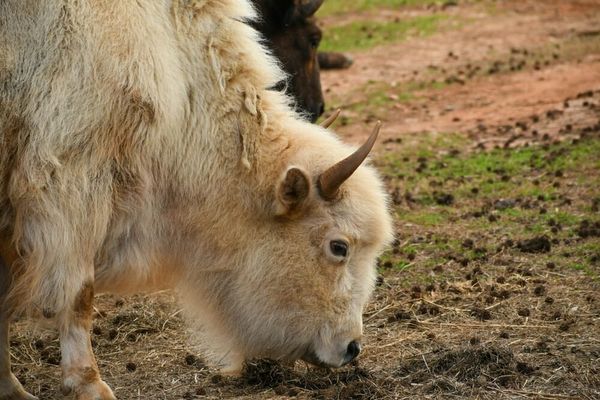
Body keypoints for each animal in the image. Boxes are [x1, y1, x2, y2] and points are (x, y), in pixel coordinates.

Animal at [0, 1, 394, 398]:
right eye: (339, 246)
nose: (351, 348)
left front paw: (11, 387)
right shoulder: (73, 185)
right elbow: (79, 292)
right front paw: (90, 384)